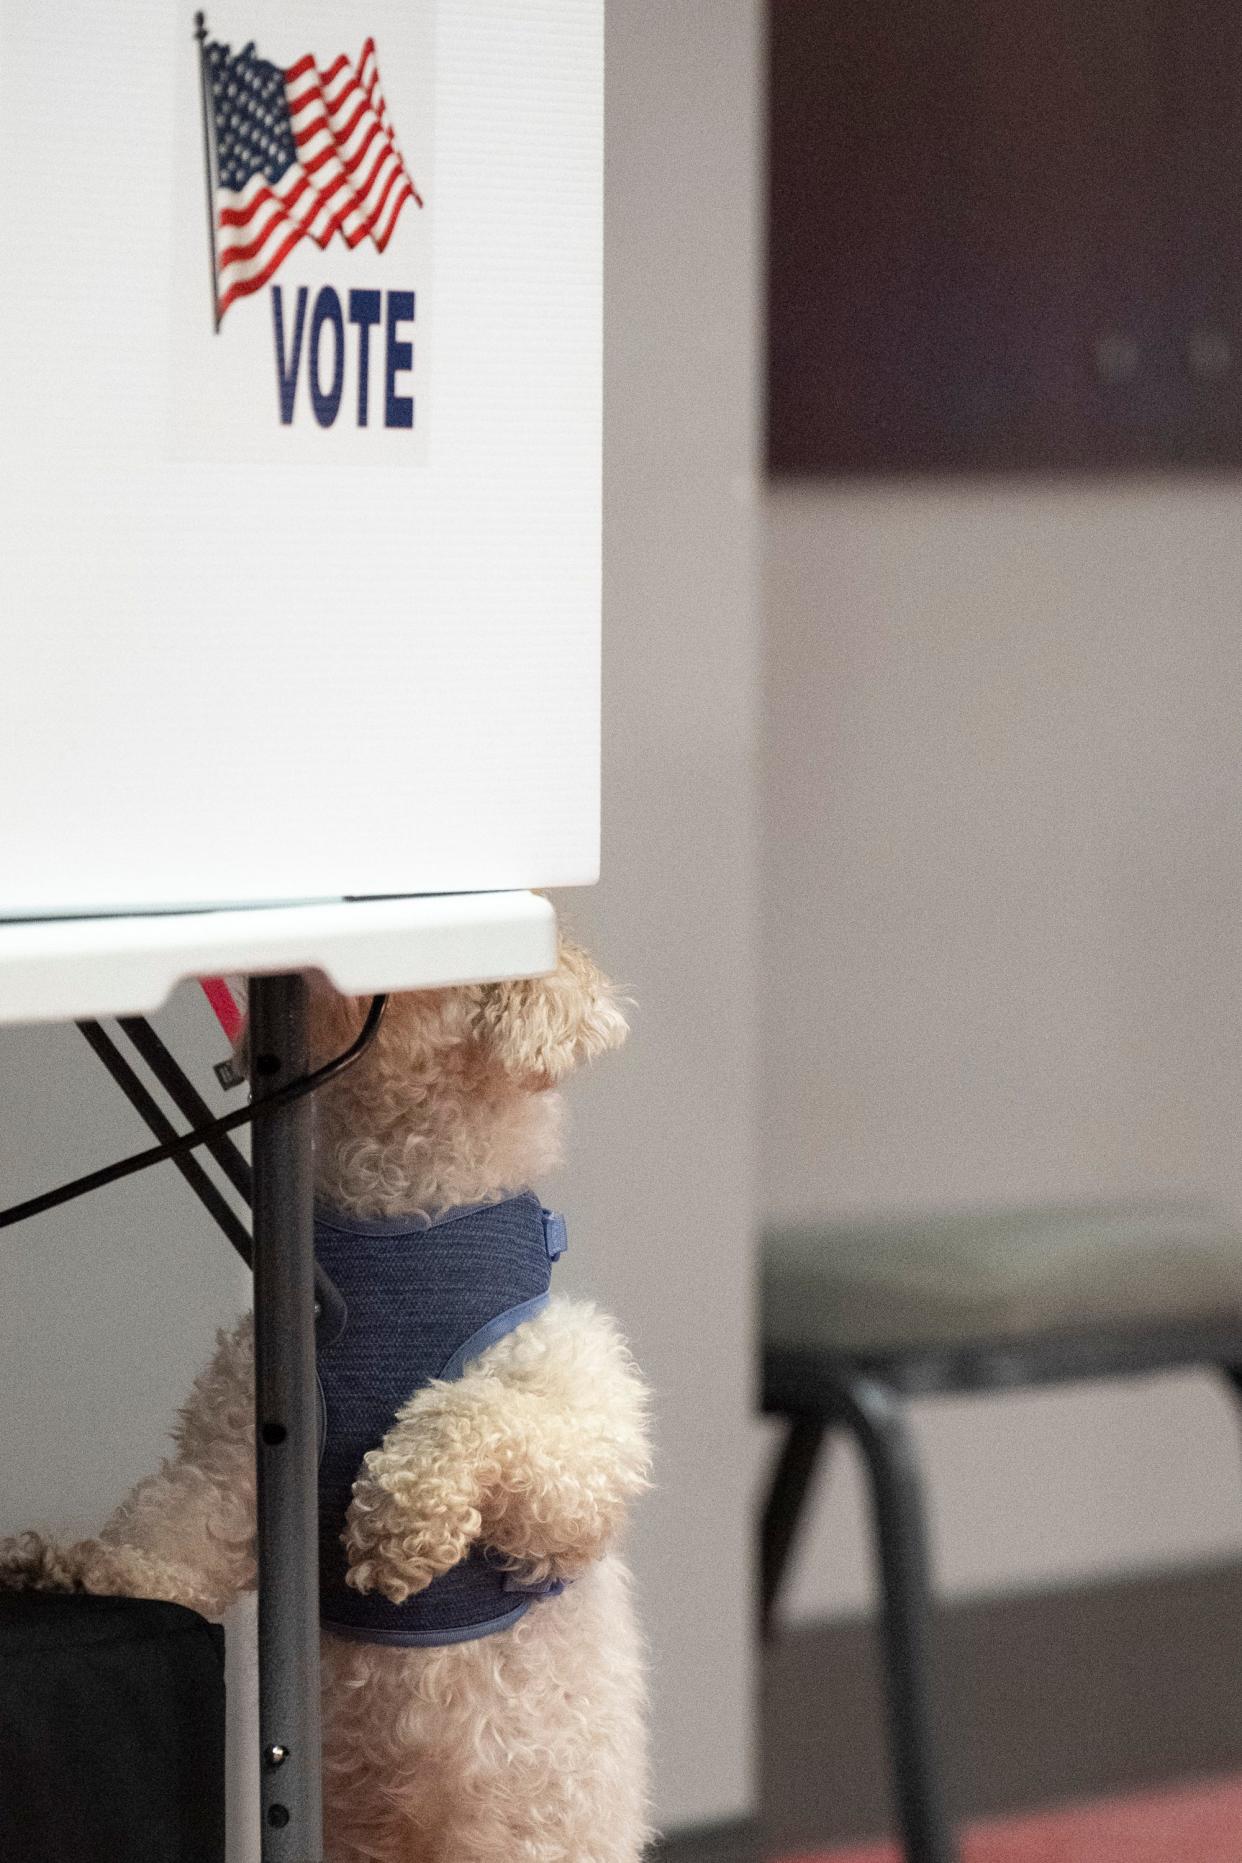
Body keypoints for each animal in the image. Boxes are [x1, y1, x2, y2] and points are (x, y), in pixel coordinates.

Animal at [0, 946, 655, 1863]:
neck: (402, 1224)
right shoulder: (239, 1435)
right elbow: (179, 1521)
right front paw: (86, 1565)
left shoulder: (576, 1435)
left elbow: (478, 1415)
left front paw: (396, 1523)